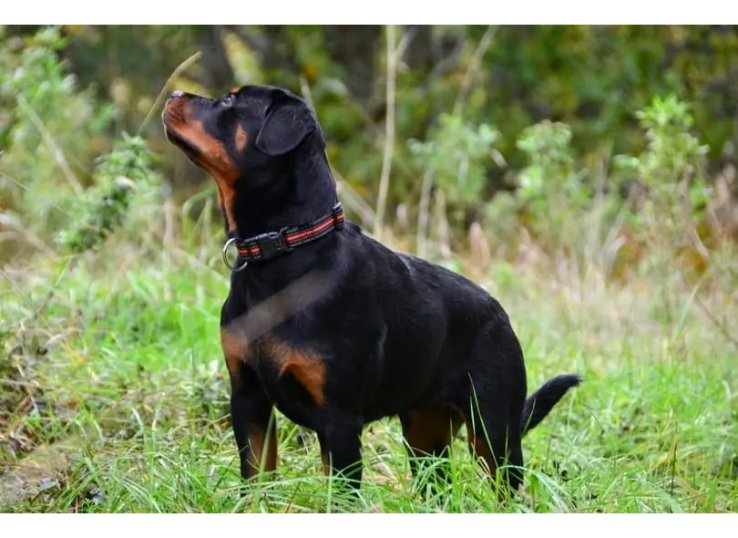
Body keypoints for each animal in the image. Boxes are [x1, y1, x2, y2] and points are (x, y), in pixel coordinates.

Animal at [164, 85, 576, 494]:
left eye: (230, 102)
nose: (174, 93)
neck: (285, 251)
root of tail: (502, 315)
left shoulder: (339, 419)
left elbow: (341, 494)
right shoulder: (248, 400)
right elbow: (256, 479)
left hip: (493, 430)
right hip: (425, 431)